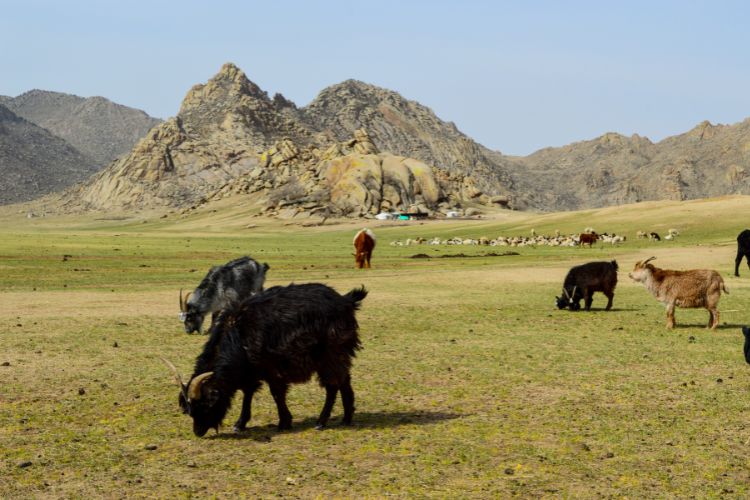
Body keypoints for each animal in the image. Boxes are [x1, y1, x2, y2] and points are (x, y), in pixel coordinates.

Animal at [164, 284, 368, 436]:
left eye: (205, 405)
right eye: (189, 409)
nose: (198, 432)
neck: (238, 334)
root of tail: (346, 301)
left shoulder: (271, 368)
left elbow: (276, 394)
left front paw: (284, 422)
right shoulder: (250, 371)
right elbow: (248, 394)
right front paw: (240, 424)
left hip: (328, 355)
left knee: (332, 386)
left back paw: (321, 422)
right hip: (340, 355)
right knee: (344, 381)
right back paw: (347, 418)